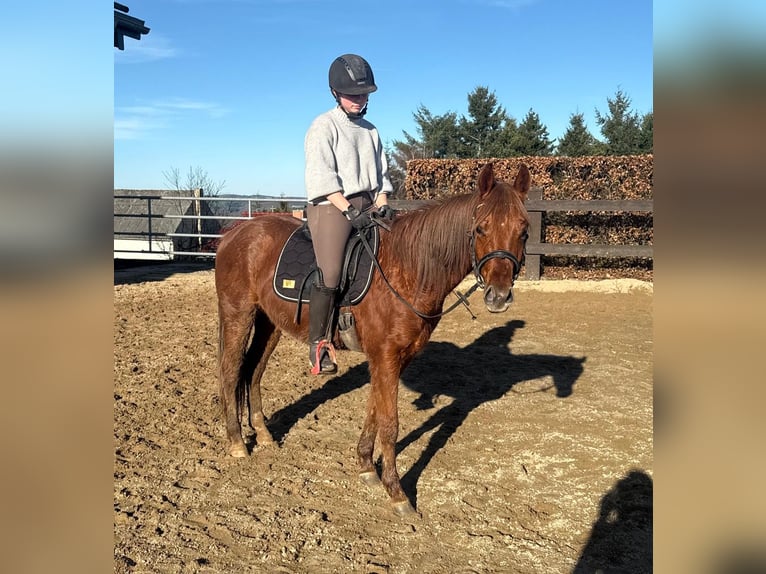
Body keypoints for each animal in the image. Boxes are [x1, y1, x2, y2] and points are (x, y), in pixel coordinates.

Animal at [214, 162, 531, 516]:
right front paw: (397, 492)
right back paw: (237, 442)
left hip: (270, 323)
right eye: (480, 229)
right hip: (238, 314)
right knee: (230, 371)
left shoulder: (393, 358)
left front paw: (367, 466)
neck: (408, 268)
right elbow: (390, 423)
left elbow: (375, 412)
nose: (498, 297)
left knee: (253, 371)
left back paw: (264, 434)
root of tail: (235, 233)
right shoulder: (386, 355)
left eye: (524, 230)